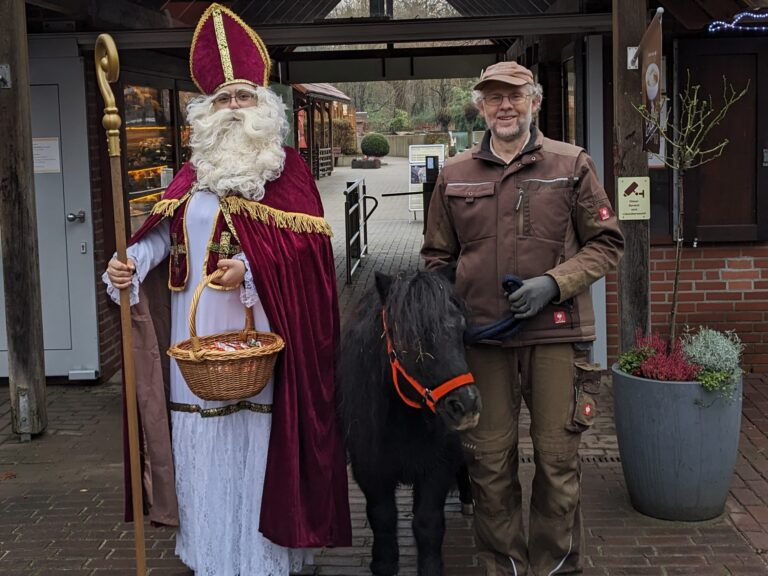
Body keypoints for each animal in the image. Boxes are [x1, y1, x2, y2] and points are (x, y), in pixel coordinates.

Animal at [338, 270, 480, 576]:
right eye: (410, 341)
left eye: (461, 329)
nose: (466, 405)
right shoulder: (370, 469)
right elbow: (382, 516)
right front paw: (383, 563)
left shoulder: (437, 467)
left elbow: (427, 522)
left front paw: (430, 567)